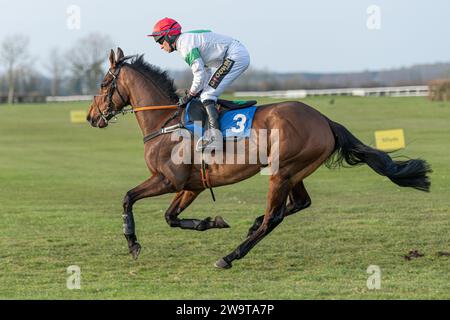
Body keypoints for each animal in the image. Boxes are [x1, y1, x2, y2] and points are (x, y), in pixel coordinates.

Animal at [86, 47, 430, 268]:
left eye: (103, 83)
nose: (90, 117)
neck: (165, 121)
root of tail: (324, 120)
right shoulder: (192, 185)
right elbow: (171, 217)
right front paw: (211, 221)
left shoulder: (168, 179)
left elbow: (128, 198)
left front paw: (132, 243)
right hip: (294, 172)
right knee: (299, 203)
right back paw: (250, 227)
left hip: (282, 172)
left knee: (273, 218)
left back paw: (230, 256)